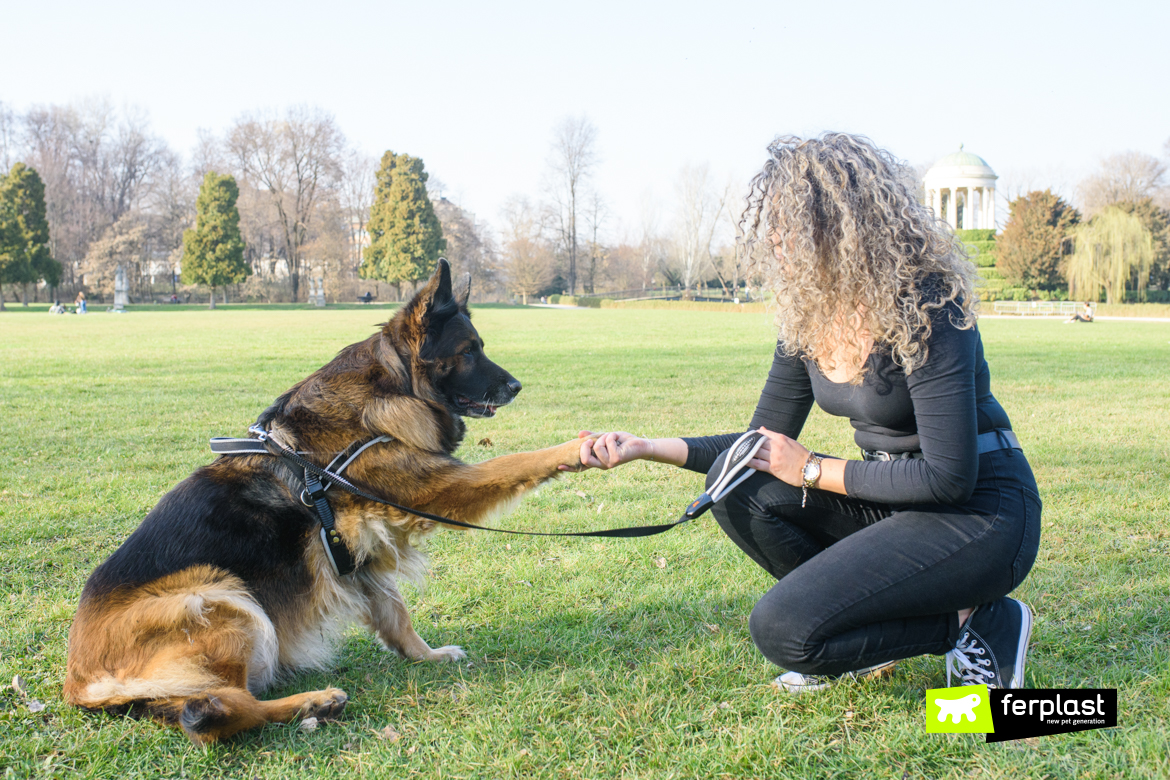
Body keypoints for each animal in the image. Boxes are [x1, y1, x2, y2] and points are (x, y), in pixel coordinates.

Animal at [64, 260, 585, 743]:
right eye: (470, 351)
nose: (517, 386)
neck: (389, 388)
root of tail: (80, 685)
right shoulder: (438, 490)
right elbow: (515, 462)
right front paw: (578, 449)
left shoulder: (359, 554)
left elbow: (396, 614)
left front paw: (427, 656)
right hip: (223, 599)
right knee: (226, 707)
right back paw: (312, 703)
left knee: (215, 706)